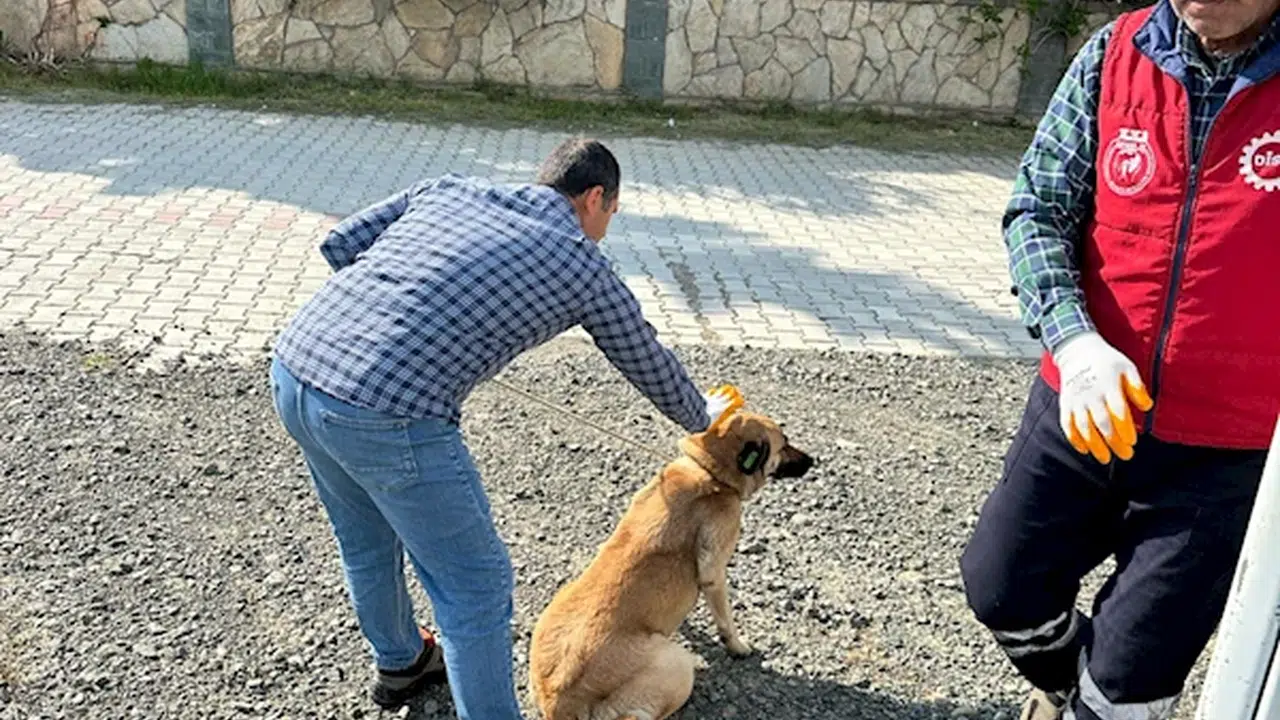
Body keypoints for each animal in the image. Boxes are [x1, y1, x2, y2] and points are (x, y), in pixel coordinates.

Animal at [528, 409, 815, 720]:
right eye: (783, 444)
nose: (813, 460)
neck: (708, 470)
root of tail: (558, 703)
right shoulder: (715, 572)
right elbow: (726, 620)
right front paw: (738, 647)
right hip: (678, 664)